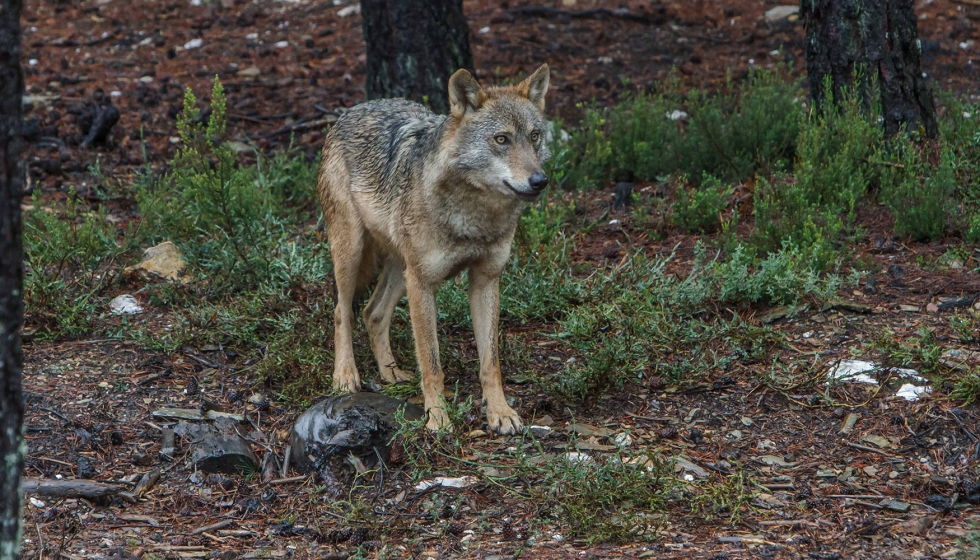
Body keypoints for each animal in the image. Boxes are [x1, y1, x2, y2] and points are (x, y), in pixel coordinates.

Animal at [320, 64, 556, 434]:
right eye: (501, 139)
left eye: (534, 136)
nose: (539, 181)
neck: (474, 216)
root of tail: (352, 109)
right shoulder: (423, 284)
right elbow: (431, 363)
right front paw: (438, 417)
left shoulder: (486, 280)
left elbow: (491, 362)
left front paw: (500, 412)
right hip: (353, 253)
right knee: (343, 312)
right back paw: (345, 377)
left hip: (400, 268)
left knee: (373, 313)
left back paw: (391, 373)